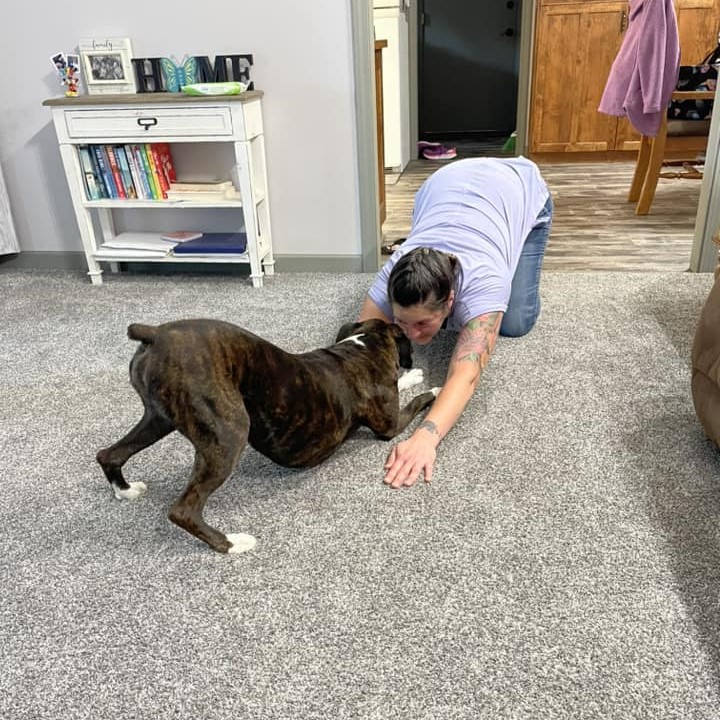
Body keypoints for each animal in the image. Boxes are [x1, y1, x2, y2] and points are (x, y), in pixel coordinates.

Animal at [96, 318, 438, 556]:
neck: (360, 348)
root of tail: (154, 333)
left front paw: (411, 377)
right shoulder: (389, 426)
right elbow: (415, 402)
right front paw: (430, 388)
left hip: (158, 418)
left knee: (108, 454)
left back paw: (125, 490)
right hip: (229, 433)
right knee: (184, 510)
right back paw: (232, 543)